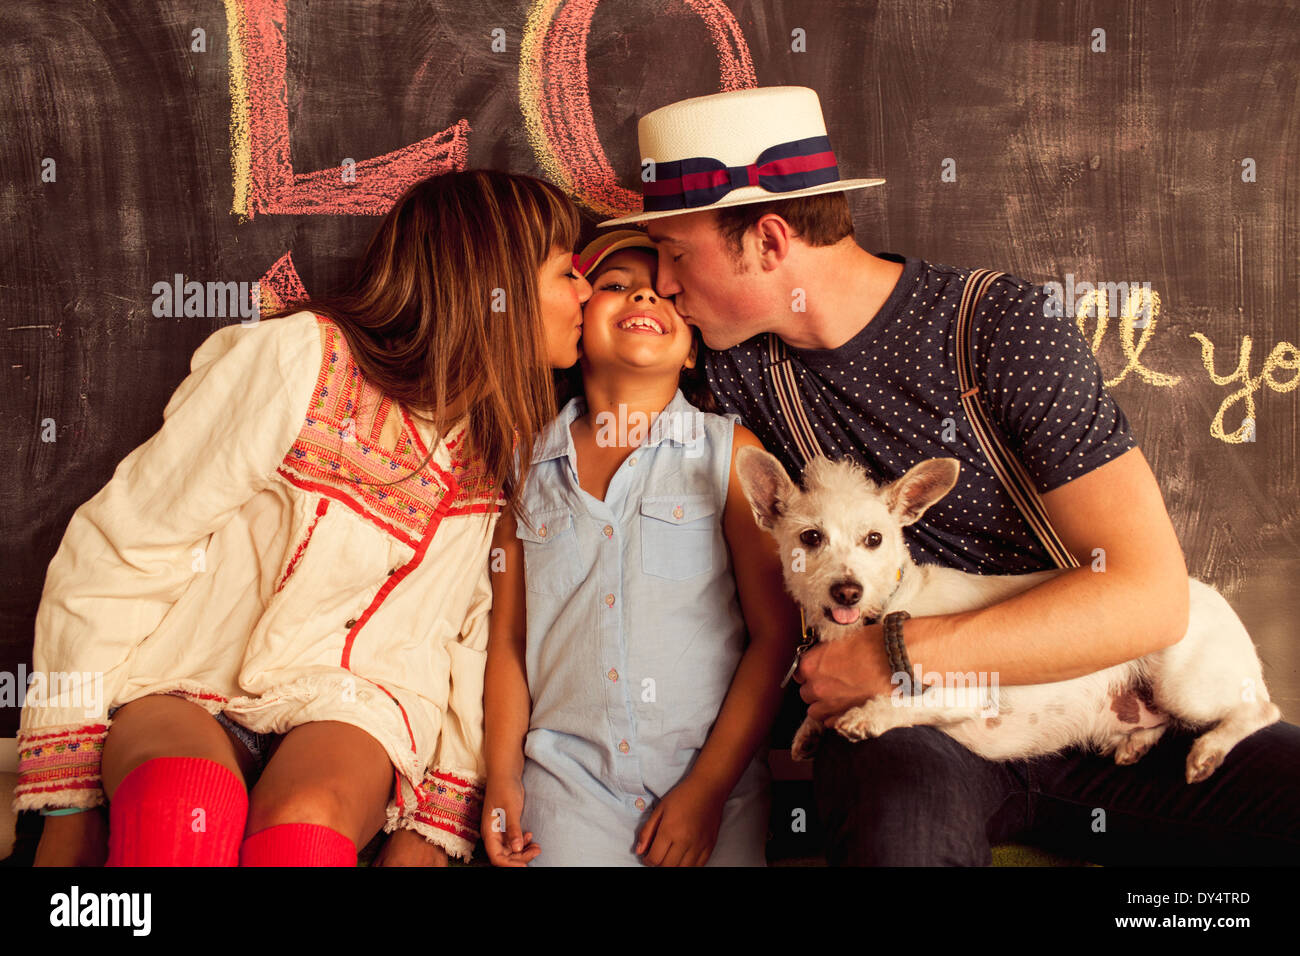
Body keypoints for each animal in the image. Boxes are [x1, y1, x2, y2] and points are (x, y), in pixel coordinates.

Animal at [738, 447, 1284, 785]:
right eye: (810, 537)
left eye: (874, 539)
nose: (847, 590)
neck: (888, 609)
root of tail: (1221, 600)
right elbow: (816, 711)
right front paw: (809, 730)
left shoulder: (964, 691)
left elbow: (896, 703)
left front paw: (863, 718)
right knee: (1164, 721)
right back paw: (1137, 744)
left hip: (1185, 686)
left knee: (1261, 710)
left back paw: (1209, 751)